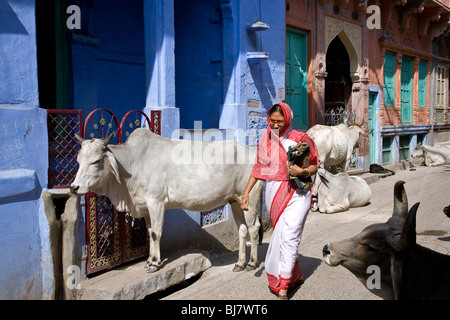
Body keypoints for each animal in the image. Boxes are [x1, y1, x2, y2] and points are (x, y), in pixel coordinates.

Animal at [68, 129, 262, 272]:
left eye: (96, 161)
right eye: (78, 160)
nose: (74, 187)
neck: (133, 163)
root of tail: (253, 151)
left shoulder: (156, 202)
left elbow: (156, 233)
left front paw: (154, 263)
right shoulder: (145, 207)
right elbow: (149, 232)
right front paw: (149, 260)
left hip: (250, 200)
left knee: (253, 228)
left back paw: (252, 263)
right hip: (235, 201)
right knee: (242, 230)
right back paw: (239, 263)